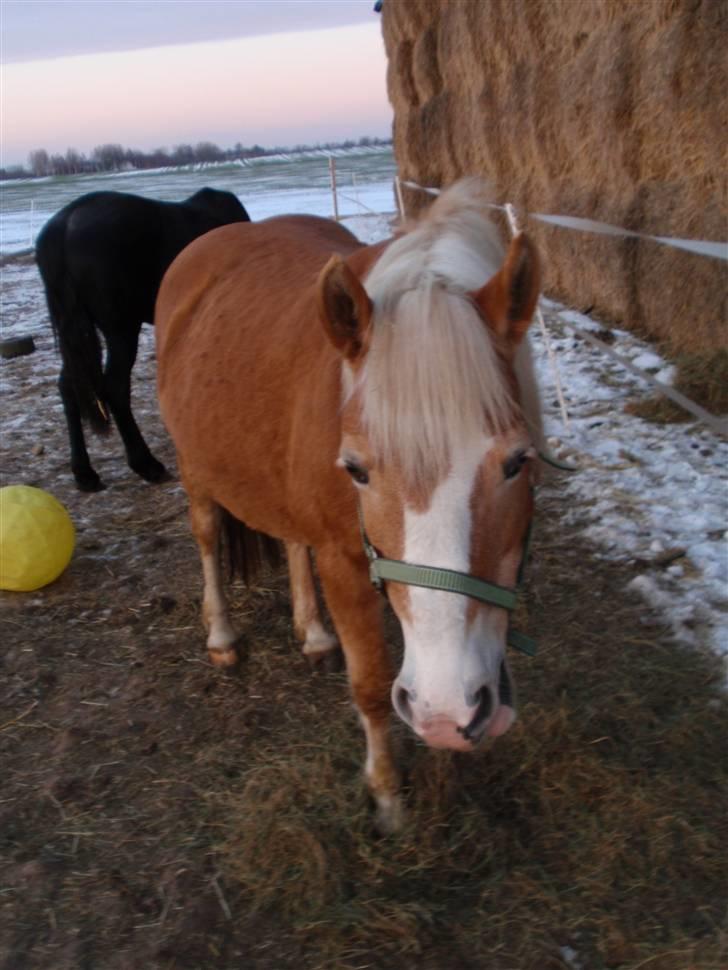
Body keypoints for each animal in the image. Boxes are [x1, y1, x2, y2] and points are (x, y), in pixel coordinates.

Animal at [36, 189, 250, 492]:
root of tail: (63, 225)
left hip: (76, 332)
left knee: (70, 385)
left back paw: (85, 473)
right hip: (121, 328)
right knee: (114, 387)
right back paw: (146, 463)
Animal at [156, 182, 544, 832]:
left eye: (518, 461)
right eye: (358, 470)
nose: (445, 710)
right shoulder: (343, 561)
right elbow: (370, 683)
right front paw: (388, 799)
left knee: (291, 538)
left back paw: (313, 633)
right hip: (197, 470)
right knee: (207, 536)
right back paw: (223, 636)